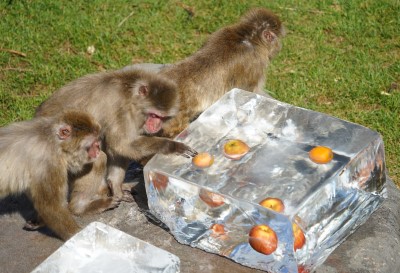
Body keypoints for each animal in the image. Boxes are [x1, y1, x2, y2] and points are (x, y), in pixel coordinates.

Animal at [0, 109, 101, 239]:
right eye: (93, 142)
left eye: (97, 139)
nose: (98, 148)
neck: (52, 141)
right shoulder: (49, 163)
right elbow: (51, 207)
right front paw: (77, 235)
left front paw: (38, 221)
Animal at [35, 68, 198, 215]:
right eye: (154, 115)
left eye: (163, 117)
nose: (156, 126)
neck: (131, 96)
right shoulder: (120, 109)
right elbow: (121, 145)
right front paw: (172, 146)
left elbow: (119, 149)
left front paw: (115, 186)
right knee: (98, 157)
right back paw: (81, 207)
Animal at [154, 7, 284, 138]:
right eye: (276, 38)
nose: (279, 46)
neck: (250, 37)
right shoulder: (258, 64)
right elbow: (248, 93)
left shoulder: (222, 31)